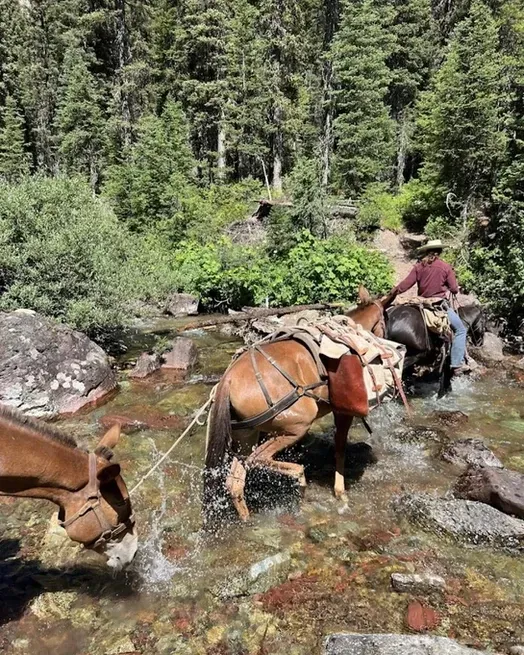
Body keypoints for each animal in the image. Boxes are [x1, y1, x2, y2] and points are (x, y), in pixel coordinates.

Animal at [204, 287, 390, 522]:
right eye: (385, 321)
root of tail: (227, 380)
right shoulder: (342, 412)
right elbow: (340, 449)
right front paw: (340, 492)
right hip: (297, 425)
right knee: (258, 460)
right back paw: (299, 478)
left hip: (246, 437)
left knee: (235, 482)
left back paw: (247, 519)